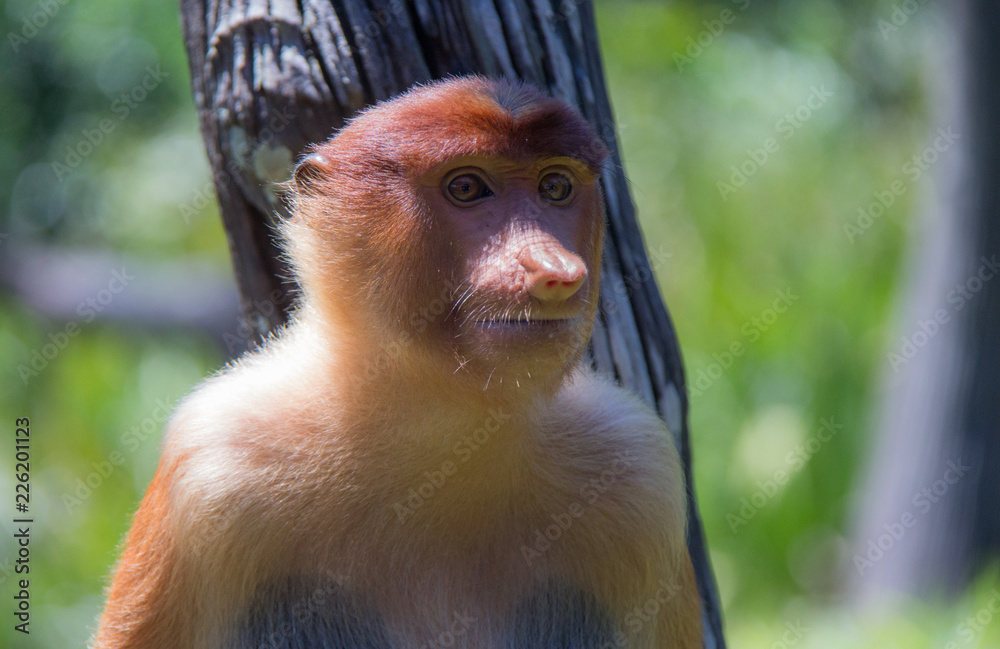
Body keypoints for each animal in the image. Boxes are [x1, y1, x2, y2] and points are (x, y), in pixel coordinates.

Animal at [93, 75, 703, 649]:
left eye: (555, 186)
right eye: (466, 187)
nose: (556, 270)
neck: (440, 429)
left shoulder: (639, 472)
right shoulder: (211, 467)